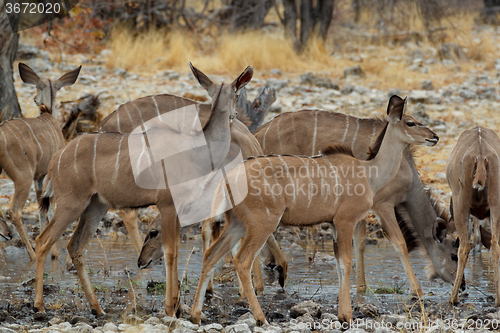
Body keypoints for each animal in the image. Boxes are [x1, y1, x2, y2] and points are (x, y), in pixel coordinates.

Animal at [0, 63, 80, 260]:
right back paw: (32, 254)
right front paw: (54, 254)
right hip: (23, 177)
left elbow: (41, 207)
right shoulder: (48, 175)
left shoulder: (39, 177)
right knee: (15, 211)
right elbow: (49, 206)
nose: (35, 99)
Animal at [34, 63, 254, 316]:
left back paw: (98, 309)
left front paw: (177, 305)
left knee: (75, 246)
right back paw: (39, 305)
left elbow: (174, 247)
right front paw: (170, 307)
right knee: (43, 240)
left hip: (95, 205)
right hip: (71, 204)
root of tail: (56, 158)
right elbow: (170, 251)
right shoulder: (167, 204)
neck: (195, 150)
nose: (235, 115)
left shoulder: (177, 208)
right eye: (237, 94)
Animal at [256, 106, 458, 294]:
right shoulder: (381, 205)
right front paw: (416, 291)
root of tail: (259, 133)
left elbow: (359, 242)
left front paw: (361, 286)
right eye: (453, 255)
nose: (461, 284)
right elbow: (398, 243)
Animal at [446, 126, 500, 304]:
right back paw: (497, 300)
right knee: (495, 245)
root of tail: (481, 155)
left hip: (460, 204)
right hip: (496, 204)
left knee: (464, 246)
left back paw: (453, 298)